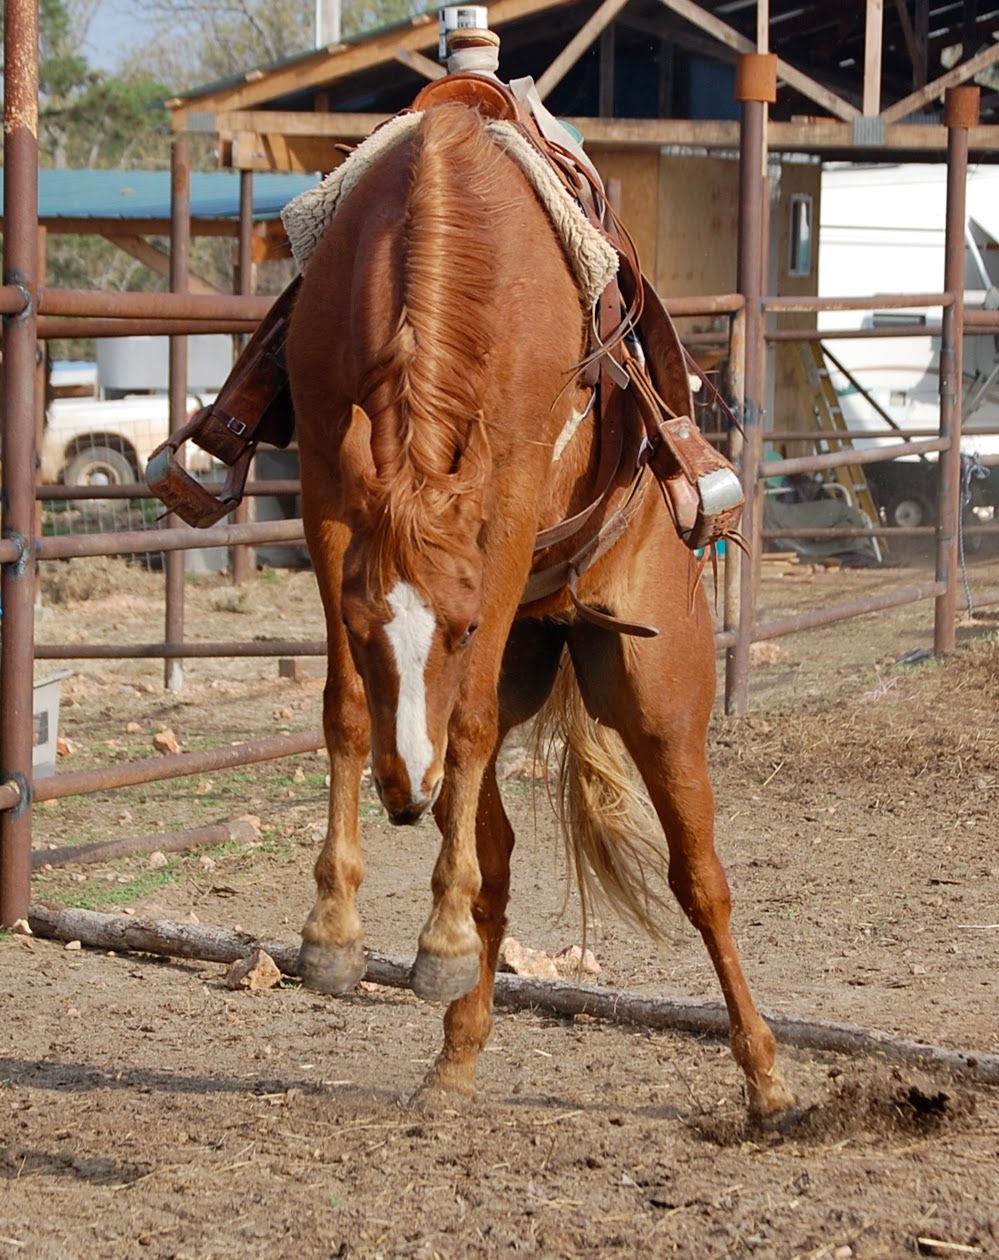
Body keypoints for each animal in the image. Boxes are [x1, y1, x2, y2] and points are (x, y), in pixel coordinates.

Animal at [285, 101, 794, 1120]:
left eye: (465, 627)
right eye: (362, 629)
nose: (405, 792)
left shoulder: (511, 493)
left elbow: (470, 722)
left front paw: (416, 940)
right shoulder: (328, 483)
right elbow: (346, 709)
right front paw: (334, 931)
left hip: (661, 697)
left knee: (700, 879)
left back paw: (765, 1076)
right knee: (496, 863)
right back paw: (455, 1046)